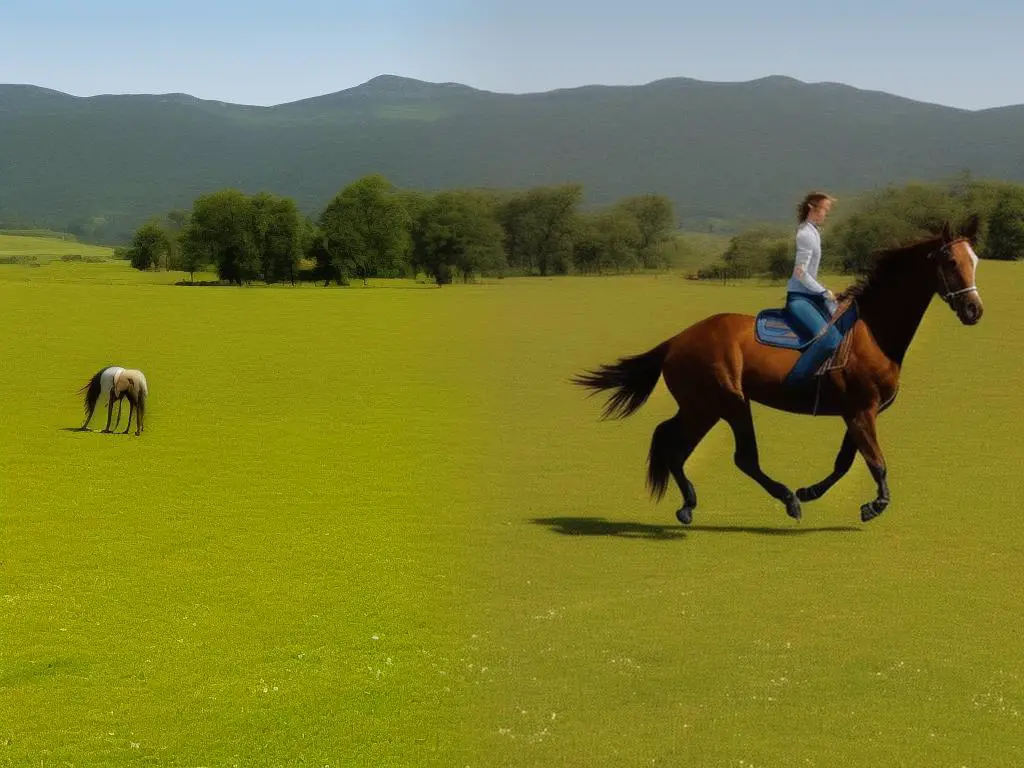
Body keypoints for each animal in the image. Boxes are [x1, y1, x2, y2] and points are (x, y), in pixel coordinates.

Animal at [577, 218, 983, 528]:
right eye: (950, 261)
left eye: (975, 260)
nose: (973, 310)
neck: (873, 331)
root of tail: (677, 340)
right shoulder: (861, 410)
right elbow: (876, 463)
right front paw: (873, 506)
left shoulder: (859, 412)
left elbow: (846, 462)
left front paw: (813, 491)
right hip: (728, 402)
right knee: (740, 457)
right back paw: (787, 499)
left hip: (703, 407)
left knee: (671, 442)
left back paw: (690, 505)